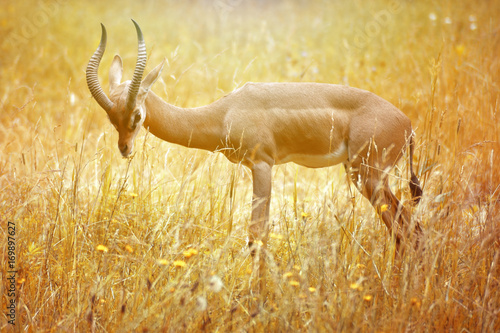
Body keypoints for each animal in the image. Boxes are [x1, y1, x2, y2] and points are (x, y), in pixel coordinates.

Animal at [86, 20, 422, 254]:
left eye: (136, 115)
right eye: (112, 117)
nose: (125, 148)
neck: (223, 113)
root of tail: (407, 124)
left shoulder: (262, 166)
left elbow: (256, 236)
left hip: (368, 176)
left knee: (405, 228)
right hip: (368, 177)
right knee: (409, 228)